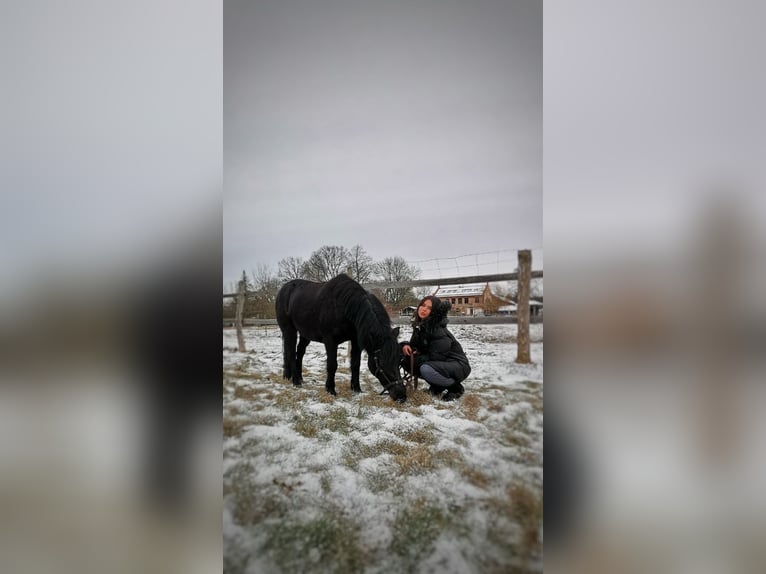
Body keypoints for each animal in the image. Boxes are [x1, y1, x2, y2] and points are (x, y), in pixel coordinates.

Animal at [276, 276, 408, 402]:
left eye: (399, 360)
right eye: (381, 362)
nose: (401, 395)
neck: (343, 307)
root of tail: (283, 289)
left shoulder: (356, 341)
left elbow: (355, 364)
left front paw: (356, 389)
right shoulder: (330, 341)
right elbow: (332, 365)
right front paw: (330, 390)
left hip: (305, 334)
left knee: (300, 352)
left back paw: (297, 378)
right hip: (289, 330)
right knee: (290, 352)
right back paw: (296, 381)